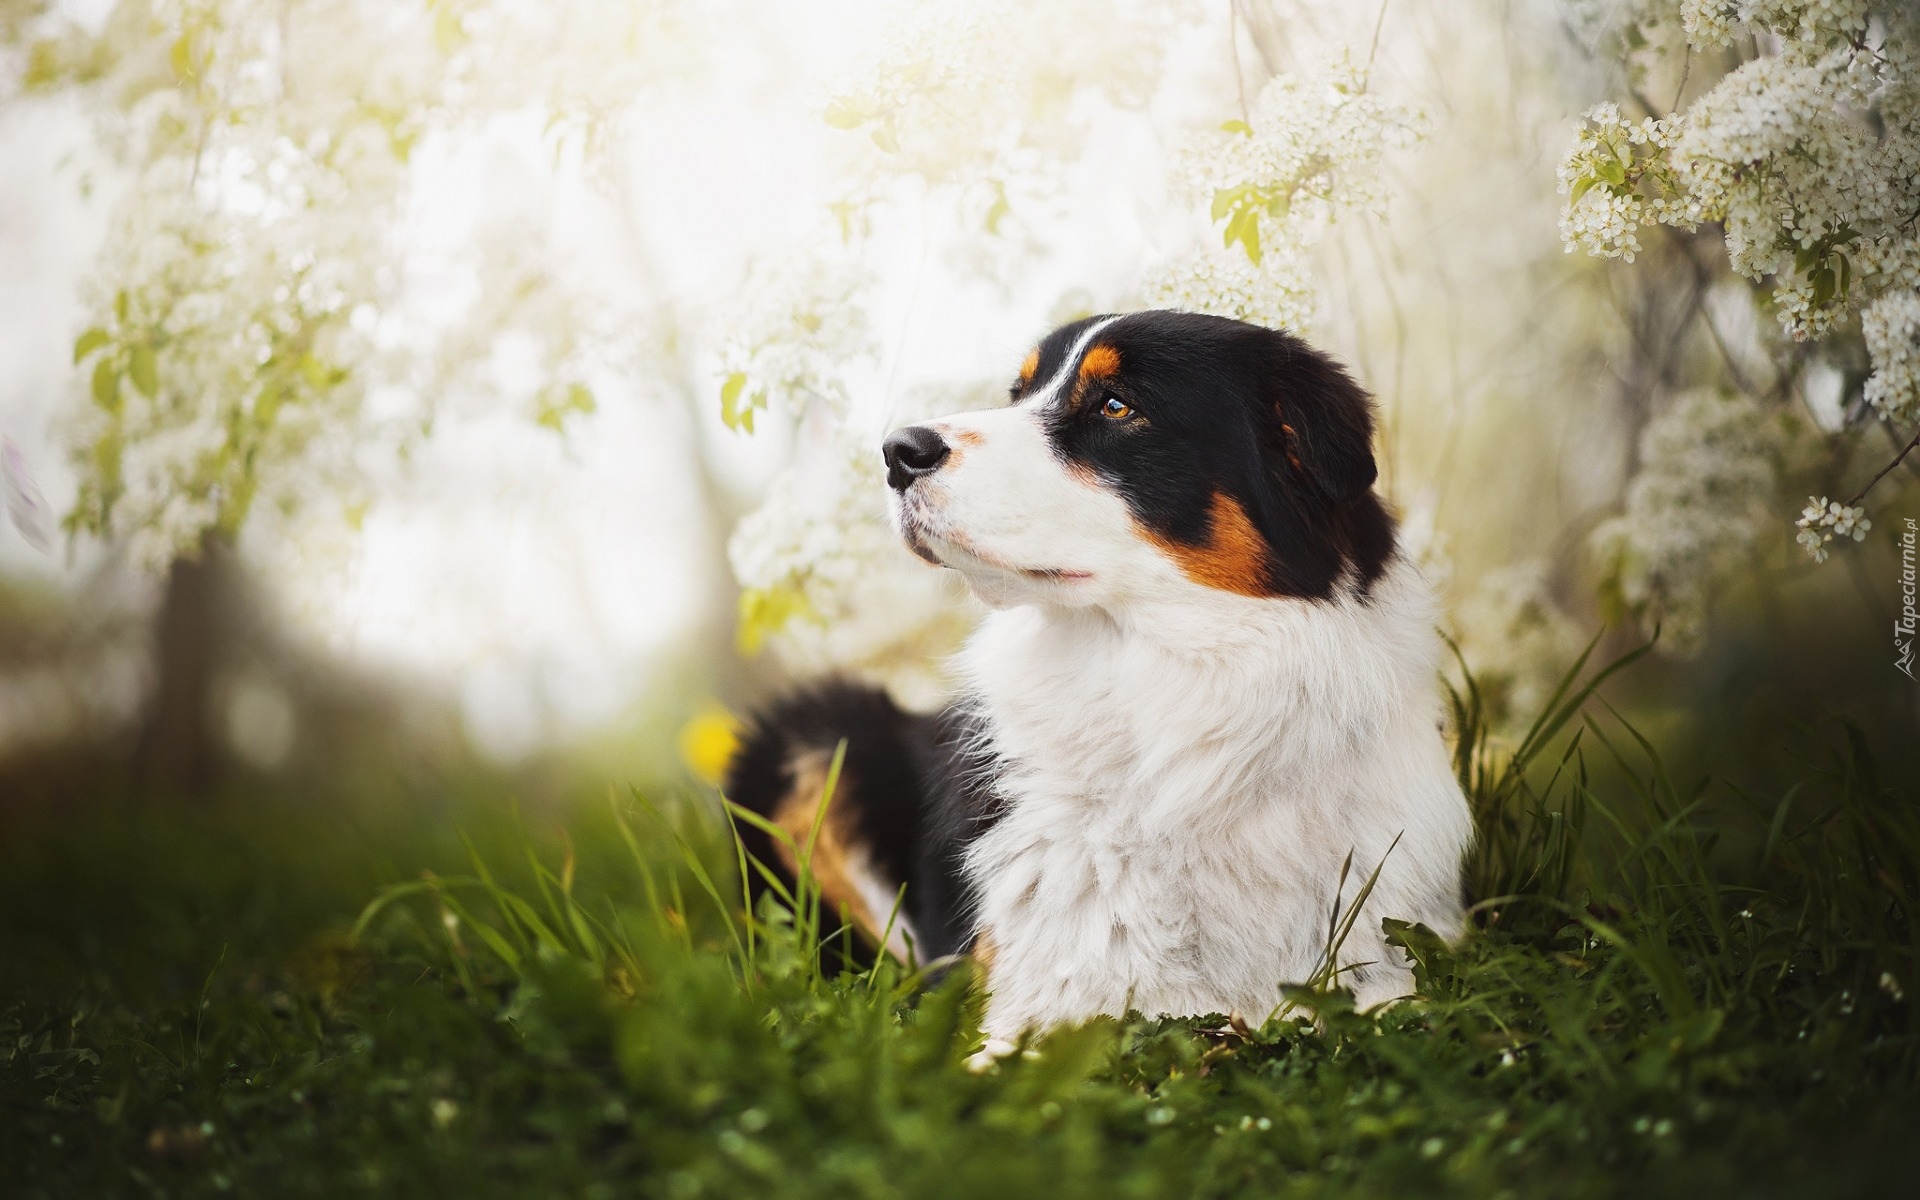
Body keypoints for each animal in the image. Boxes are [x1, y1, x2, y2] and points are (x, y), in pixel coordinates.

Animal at [721, 311, 1466, 1059]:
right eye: (1018, 393)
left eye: (1116, 405)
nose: (898, 450)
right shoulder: (1018, 994)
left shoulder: (1390, 957)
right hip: (818, 736)